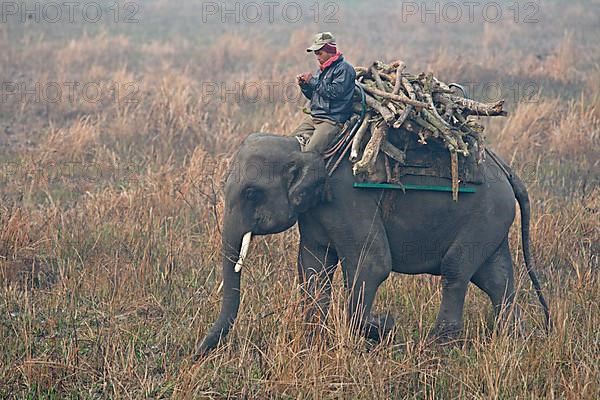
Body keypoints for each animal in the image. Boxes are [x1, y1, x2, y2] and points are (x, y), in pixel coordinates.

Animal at [195, 133, 552, 358]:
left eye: (251, 192)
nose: (194, 353)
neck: (305, 147)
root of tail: (508, 170)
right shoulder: (314, 212)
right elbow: (312, 268)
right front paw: (314, 343)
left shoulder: (348, 201)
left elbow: (372, 264)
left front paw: (378, 330)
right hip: (492, 222)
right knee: (496, 278)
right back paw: (516, 341)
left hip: (484, 215)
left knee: (456, 270)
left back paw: (440, 346)